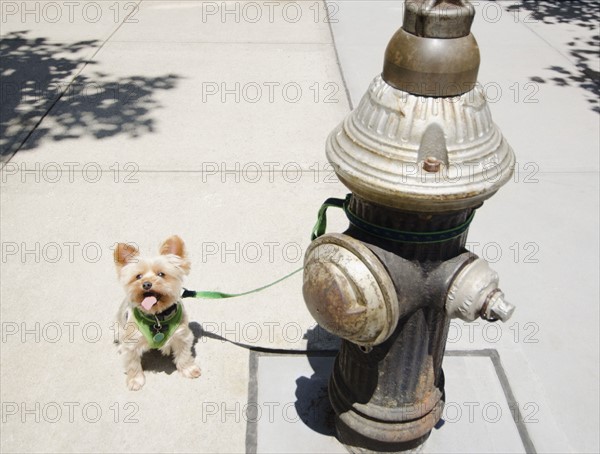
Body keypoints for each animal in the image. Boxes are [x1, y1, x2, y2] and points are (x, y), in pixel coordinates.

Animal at [113, 234, 203, 390]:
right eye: (138, 276)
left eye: (161, 274)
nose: (146, 284)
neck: (157, 317)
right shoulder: (131, 342)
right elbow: (132, 364)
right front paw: (135, 380)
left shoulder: (182, 336)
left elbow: (184, 355)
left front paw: (188, 369)